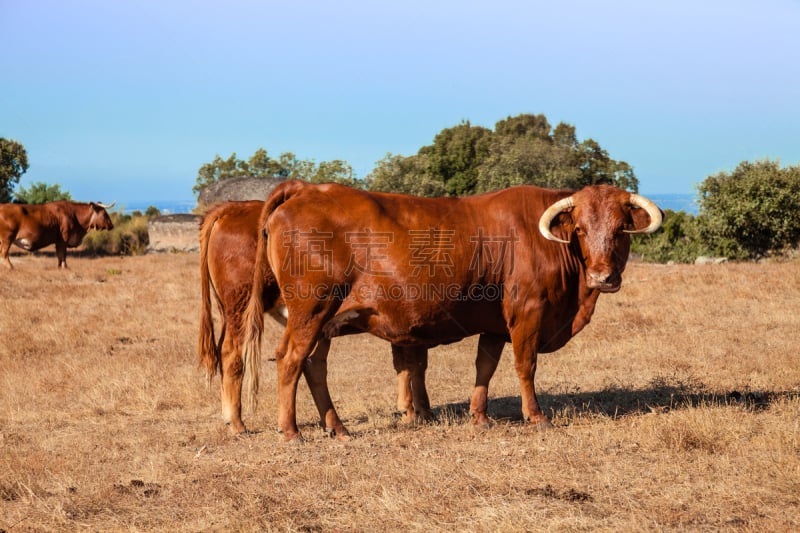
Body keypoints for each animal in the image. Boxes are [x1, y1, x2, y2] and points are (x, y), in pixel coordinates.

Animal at [198, 202, 434, 434]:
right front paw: (419, 412)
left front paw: (412, 410)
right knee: (232, 355)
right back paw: (237, 423)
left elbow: (406, 364)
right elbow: (415, 364)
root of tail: (231, 208)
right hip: (242, 308)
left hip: (229, 312)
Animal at [242, 180, 664, 440]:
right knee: (290, 360)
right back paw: (292, 431)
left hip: (324, 321)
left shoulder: (495, 324)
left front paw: (480, 416)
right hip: (310, 311)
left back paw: (338, 427)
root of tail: (307, 188)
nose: (603, 276)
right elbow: (525, 366)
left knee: (314, 367)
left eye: (622, 228)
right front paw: (536, 415)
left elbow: (485, 367)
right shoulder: (527, 314)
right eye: (579, 229)